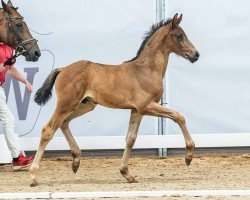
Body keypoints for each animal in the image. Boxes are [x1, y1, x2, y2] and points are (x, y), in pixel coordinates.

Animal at [30, 13, 200, 186]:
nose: (196, 54)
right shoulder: (146, 106)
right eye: (179, 35)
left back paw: (76, 161)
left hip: (85, 105)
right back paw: (33, 176)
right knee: (48, 130)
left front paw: (127, 174)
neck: (146, 70)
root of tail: (63, 69)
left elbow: (130, 138)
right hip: (66, 104)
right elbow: (178, 116)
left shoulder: (136, 110)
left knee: (64, 123)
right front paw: (188, 156)